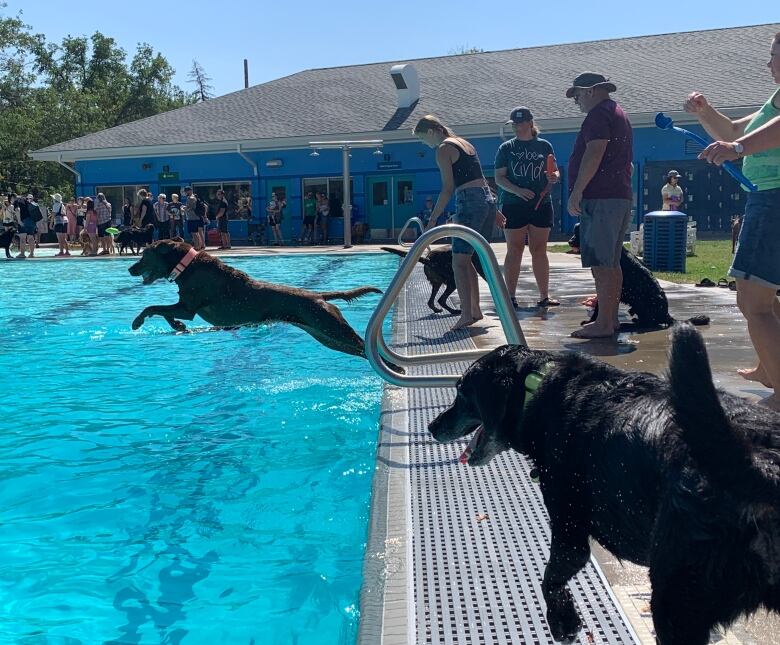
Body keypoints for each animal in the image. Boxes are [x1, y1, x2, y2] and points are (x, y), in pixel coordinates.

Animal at [131, 238, 400, 368]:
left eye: (144, 255)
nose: (129, 269)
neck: (187, 265)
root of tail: (320, 296)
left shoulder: (188, 308)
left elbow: (152, 307)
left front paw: (137, 322)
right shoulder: (185, 308)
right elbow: (164, 312)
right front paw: (177, 327)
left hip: (334, 329)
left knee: (364, 346)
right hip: (327, 337)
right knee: (361, 351)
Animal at [430, 328, 780, 644]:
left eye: (462, 392)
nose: (433, 426)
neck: (538, 389)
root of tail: (763, 462)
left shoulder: (569, 531)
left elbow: (550, 579)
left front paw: (563, 621)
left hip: (676, 599)